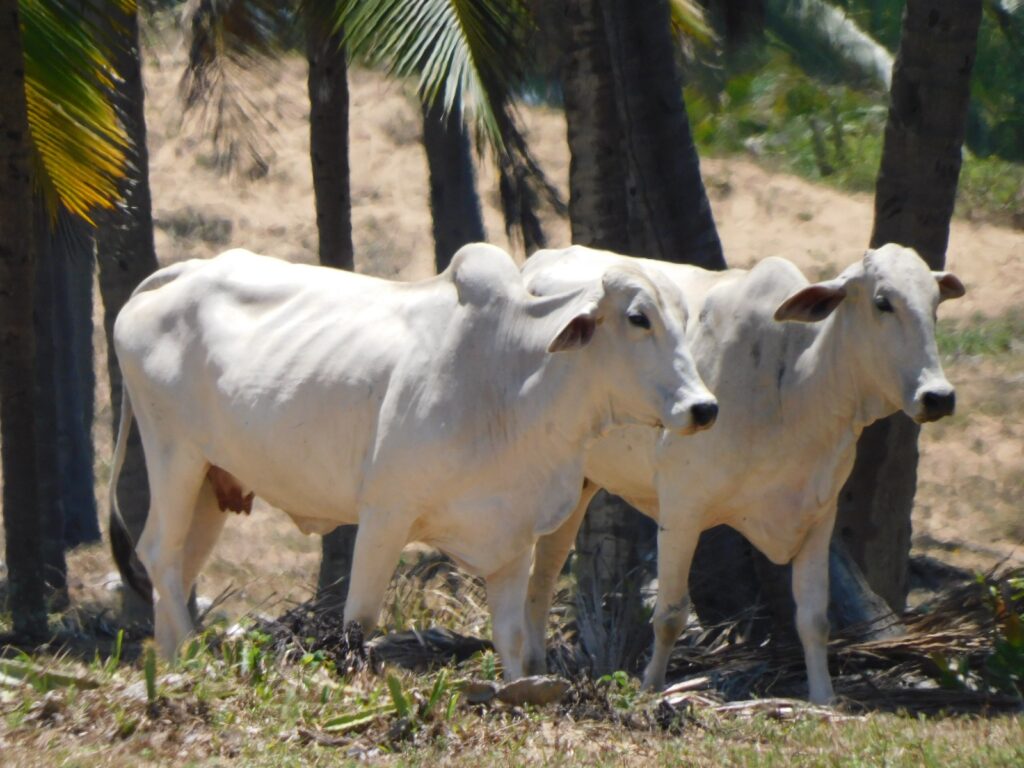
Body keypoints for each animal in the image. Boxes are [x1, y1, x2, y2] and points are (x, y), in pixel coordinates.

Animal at [108, 241, 716, 679]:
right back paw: (193, 655)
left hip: (212, 484)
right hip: (174, 453)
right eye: (638, 318)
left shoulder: (514, 536)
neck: (510, 376)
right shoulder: (385, 515)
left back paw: (173, 662)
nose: (704, 408)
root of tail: (179, 273)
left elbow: (513, 639)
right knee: (158, 551)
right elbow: (358, 621)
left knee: (179, 565)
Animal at [524, 244, 962, 704]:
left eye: (935, 304)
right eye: (883, 302)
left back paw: (534, 668)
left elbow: (814, 618)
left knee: (542, 580)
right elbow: (670, 615)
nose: (938, 396)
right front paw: (652, 689)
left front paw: (823, 697)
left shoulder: (819, 516)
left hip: (580, 485)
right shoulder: (682, 509)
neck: (796, 384)